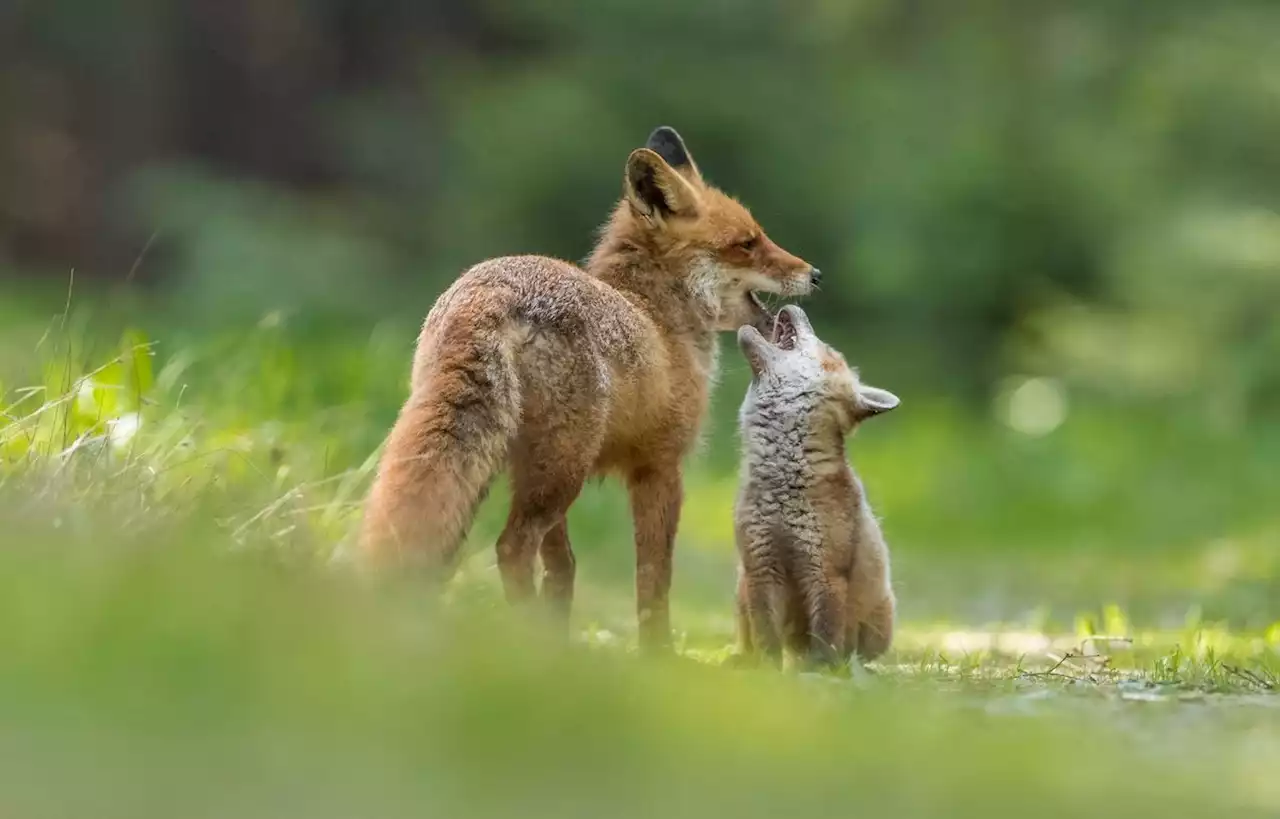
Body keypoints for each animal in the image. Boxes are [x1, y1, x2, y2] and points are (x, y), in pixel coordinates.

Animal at [360, 126, 819, 652]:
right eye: (747, 243)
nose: (816, 274)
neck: (659, 320)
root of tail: (492, 292)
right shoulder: (660, 467)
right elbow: (654, 580)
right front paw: (657, 653)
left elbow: (563, 569)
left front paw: (561, 637)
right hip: (561, 468)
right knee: (511, 548)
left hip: (512, 463)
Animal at [732, 304, 901, 670]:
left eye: (830, 351)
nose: (793, 306)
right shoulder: (760, 566)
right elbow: (767, 639)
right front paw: (766, 675)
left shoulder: (825, 571)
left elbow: (825, 636)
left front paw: (819, 675)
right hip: (741, 589)